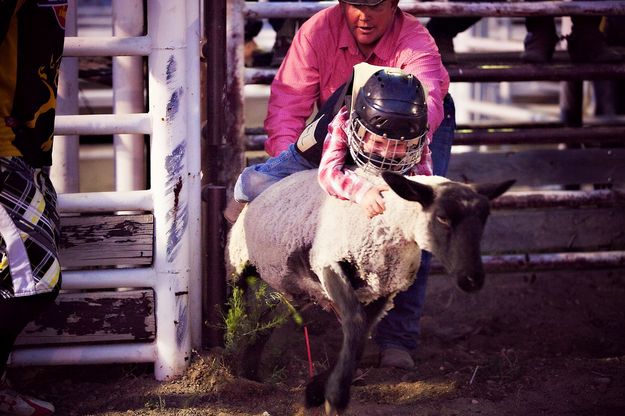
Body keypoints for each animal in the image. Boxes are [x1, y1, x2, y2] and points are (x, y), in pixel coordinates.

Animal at [224, 168, 512, 412]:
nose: (472, 279)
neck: (388, 224)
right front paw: (334, 397)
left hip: (295, 289)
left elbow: (360, 336)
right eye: (441, 217)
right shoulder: (328, 262)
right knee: (237, 302)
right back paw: (230, 347)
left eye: (484, 217)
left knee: (266, 321)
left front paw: (316, 391)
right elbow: (355, 323)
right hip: (239, 261)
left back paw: (249, 372)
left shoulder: (383, 291)